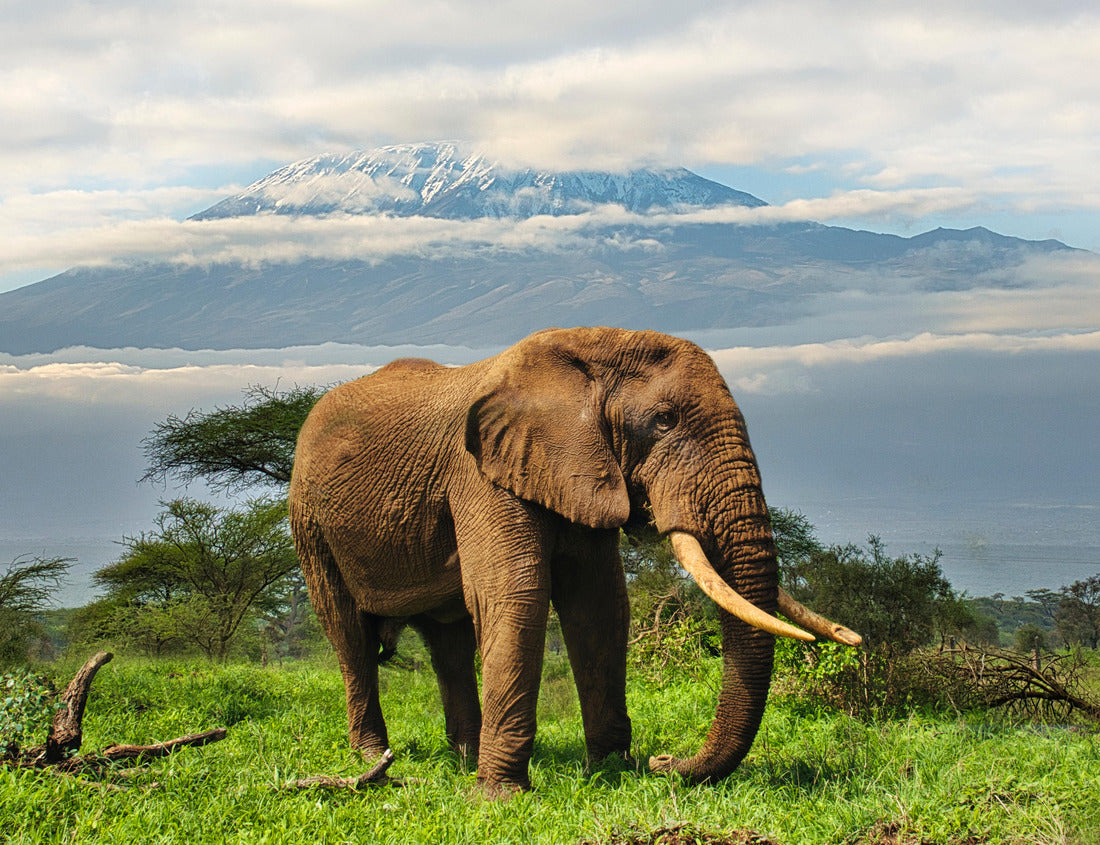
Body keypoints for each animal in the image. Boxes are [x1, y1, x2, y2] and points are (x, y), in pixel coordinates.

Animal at [288, 326, 860, 793]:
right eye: (664, 421)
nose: (665, 763)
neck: (589, 353)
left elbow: (599, 606)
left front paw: (610, 771)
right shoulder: (480, 474)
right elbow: (516, 595)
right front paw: (499, 797)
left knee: (448, 642)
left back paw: (464, 758)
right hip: (309, 521)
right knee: (348, 633)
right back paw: (374, 757)